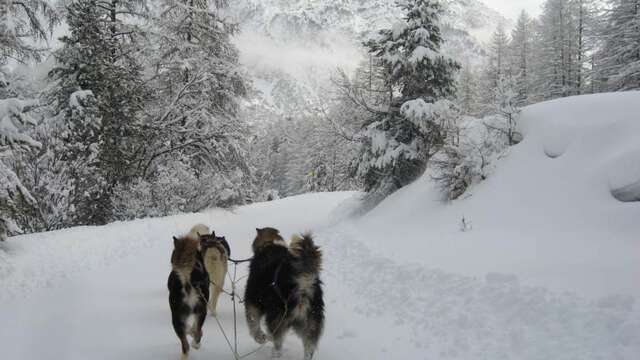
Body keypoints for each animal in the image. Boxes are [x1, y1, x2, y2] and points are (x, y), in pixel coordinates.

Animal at [168, 224, 210, 358]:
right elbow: (194, 329)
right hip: (201, 311)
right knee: (194, 335)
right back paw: (196, 344)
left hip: (177, 317)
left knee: (185, 344)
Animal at [245, 228, 324, 360]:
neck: (270, 244)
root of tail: (303, 284)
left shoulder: (253, 300)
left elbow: (253, 321)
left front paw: (260, 338)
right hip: (309, 323)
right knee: (309, 348)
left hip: (277, 318)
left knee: (278, 343)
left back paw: (274, 353)